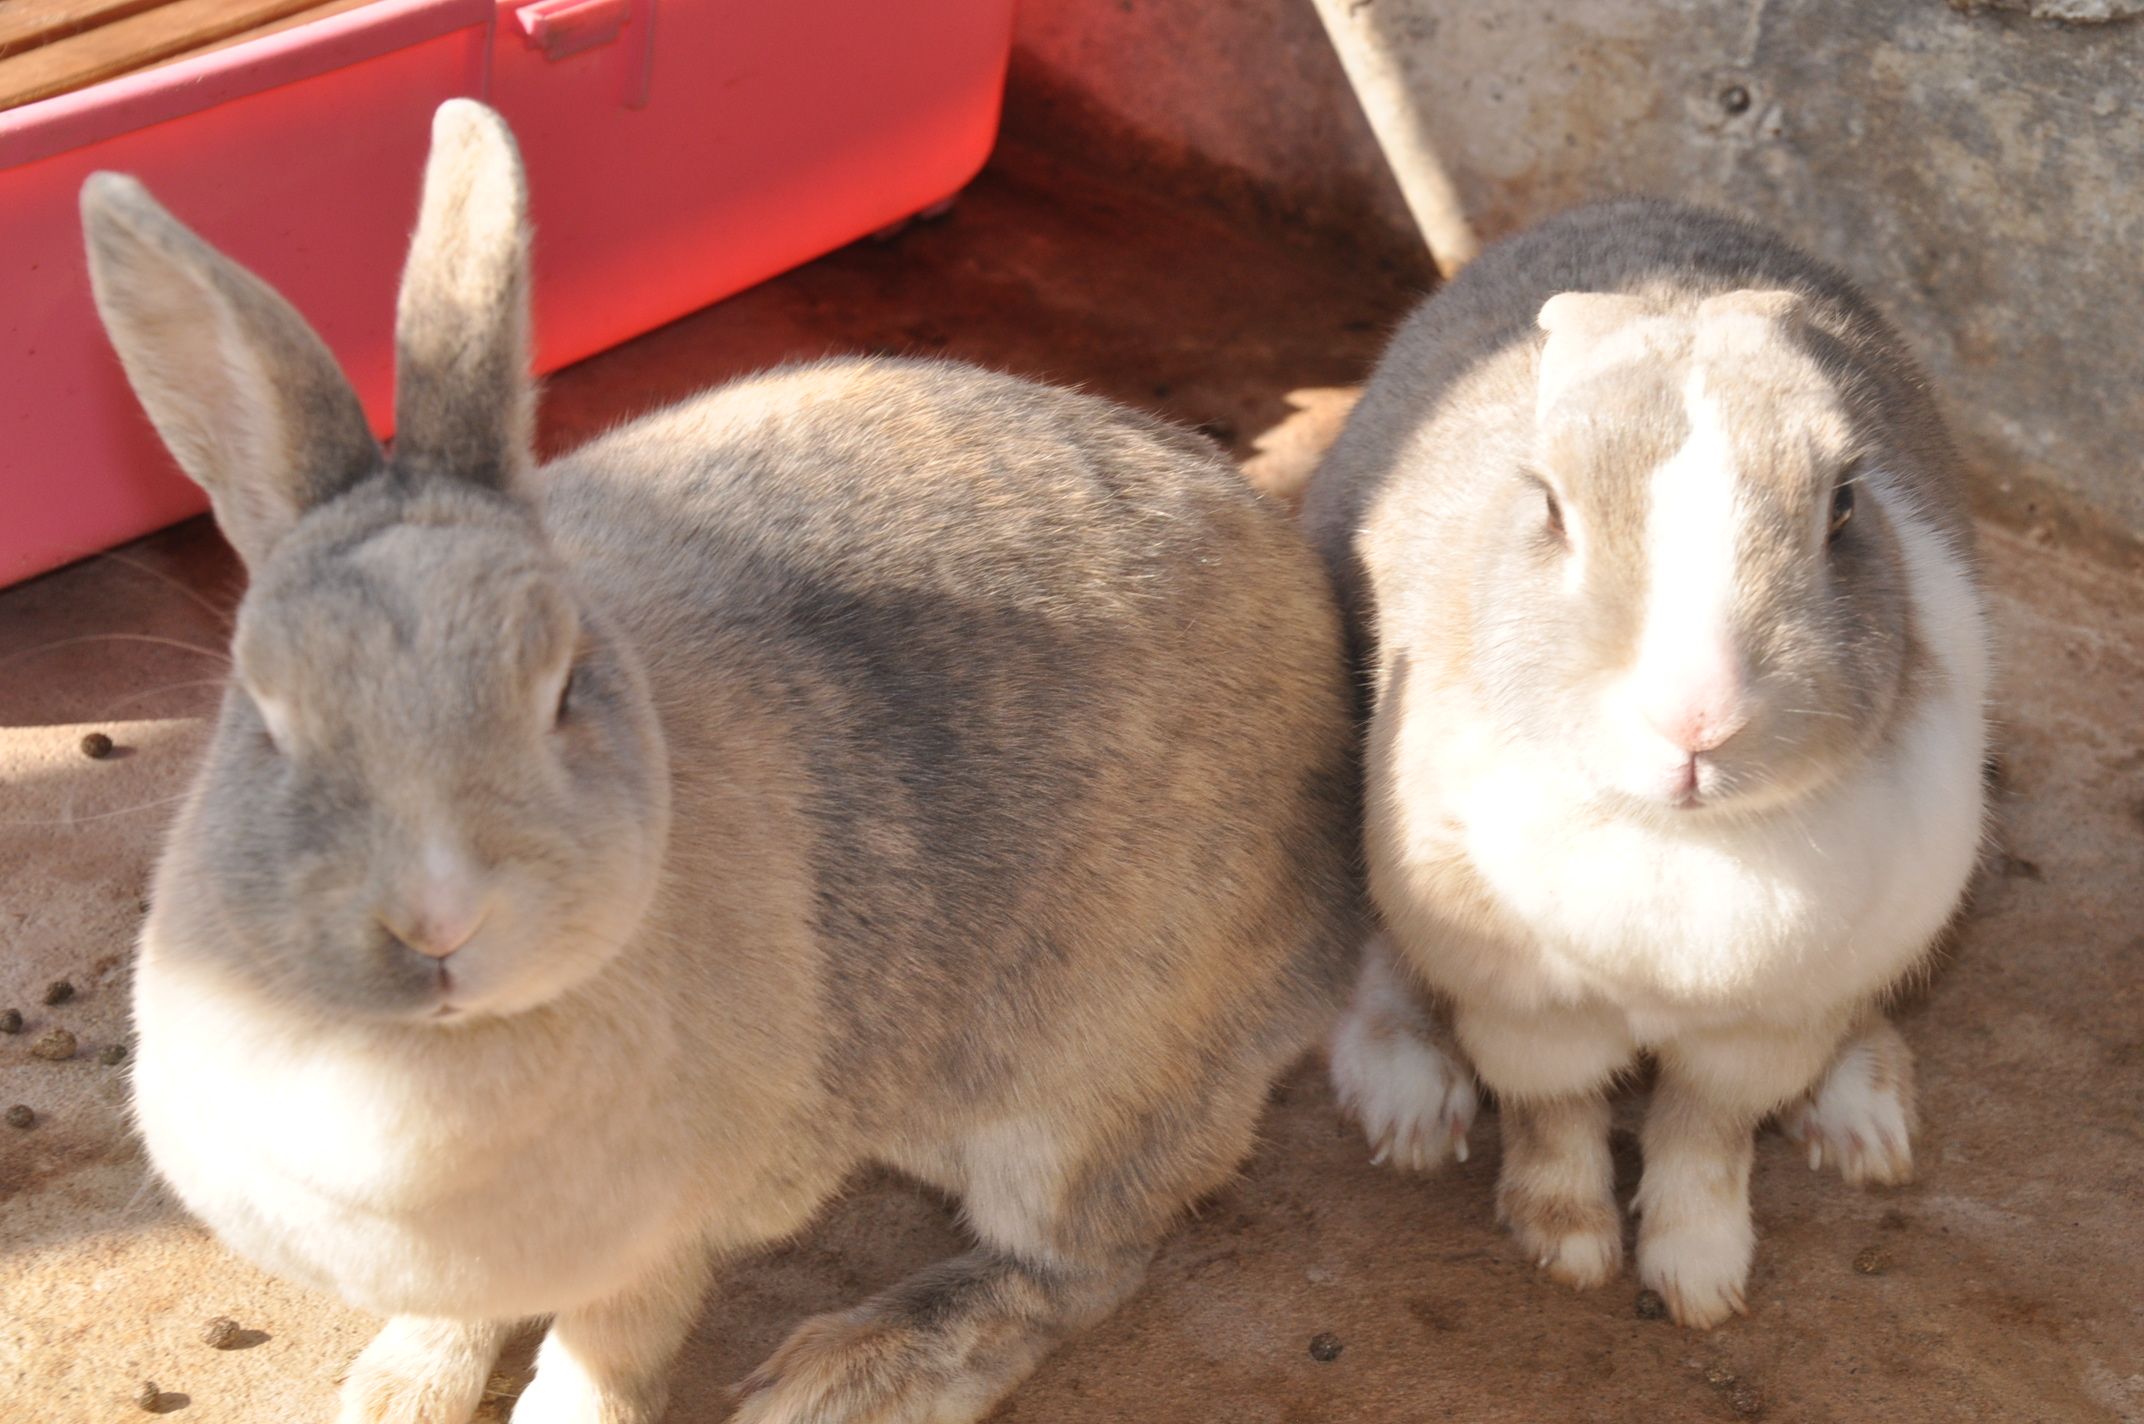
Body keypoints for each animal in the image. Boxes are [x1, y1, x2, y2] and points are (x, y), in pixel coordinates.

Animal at [92, 102, 1363, 1423]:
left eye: (564, 685)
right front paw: (390, 1396)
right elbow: (458, 1318)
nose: (434, 919)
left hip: (1079, 1097)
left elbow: (612, 1347)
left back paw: (847, 1375)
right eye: (263, 708)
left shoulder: (663, 1243)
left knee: (1081, 1261)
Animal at [1303, 197, 1989, 1321]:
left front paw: (1699, 1280)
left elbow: (1702, 1140)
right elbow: (1555, 1116)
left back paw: (1862, 1120)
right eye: (1547, 506)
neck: (1681, 836)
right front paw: (1566, 1245)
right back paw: (1411, 1107)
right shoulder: (1525, 1005)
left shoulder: (1758, 1032)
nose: (1695, 717)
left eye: (1845, 504)